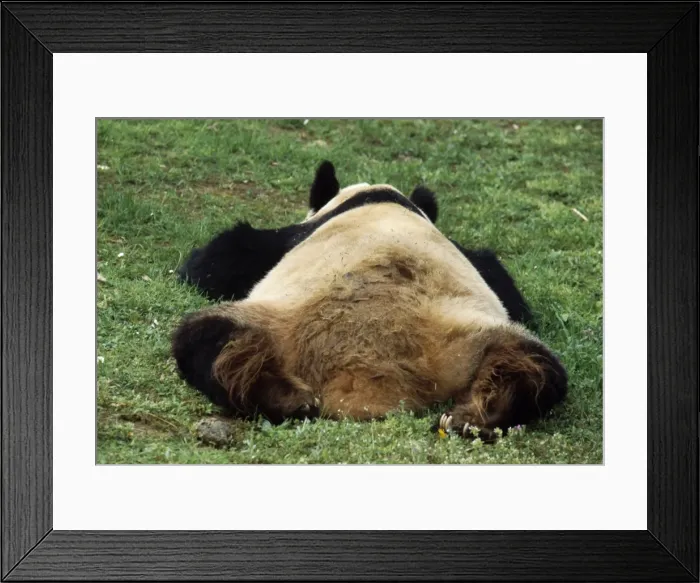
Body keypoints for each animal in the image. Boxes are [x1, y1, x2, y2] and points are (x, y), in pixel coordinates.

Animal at [172, 161, 567, 441]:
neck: (380, 198)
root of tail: (366, 380)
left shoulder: (286, 238)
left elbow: (221, 259)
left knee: (202, 339)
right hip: (465, 338)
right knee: (535, 365)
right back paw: (481, 414)